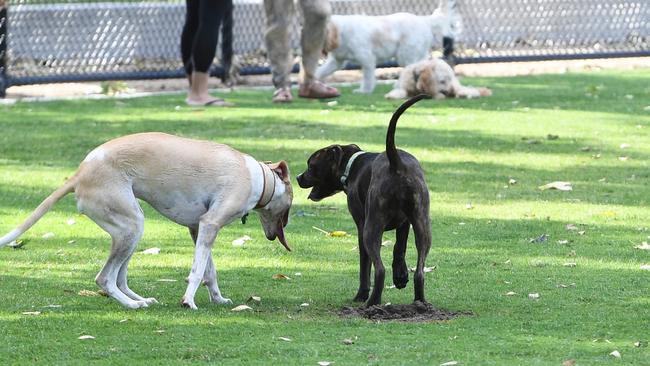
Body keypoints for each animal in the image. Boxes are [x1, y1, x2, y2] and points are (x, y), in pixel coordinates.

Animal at [0, 133, 292, 310]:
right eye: (289, 206)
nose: (275, 235)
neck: (258, 177)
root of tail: (79, 173)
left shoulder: (198, 229)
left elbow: (210, 270)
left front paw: (218, 298)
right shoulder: (210, 224)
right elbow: (198, 271)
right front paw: (188, 301)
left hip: (130, 232)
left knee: (119, 279)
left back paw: (140, 299)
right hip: (131, 227)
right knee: (104, 279)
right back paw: (131, 305)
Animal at [316, 0, 458, 93]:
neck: (341, 32)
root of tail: (424, 20)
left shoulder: (367, 60)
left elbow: (367, 78)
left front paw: (364, 91)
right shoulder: (336, 62)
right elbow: (320, 71)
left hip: (405, 55)